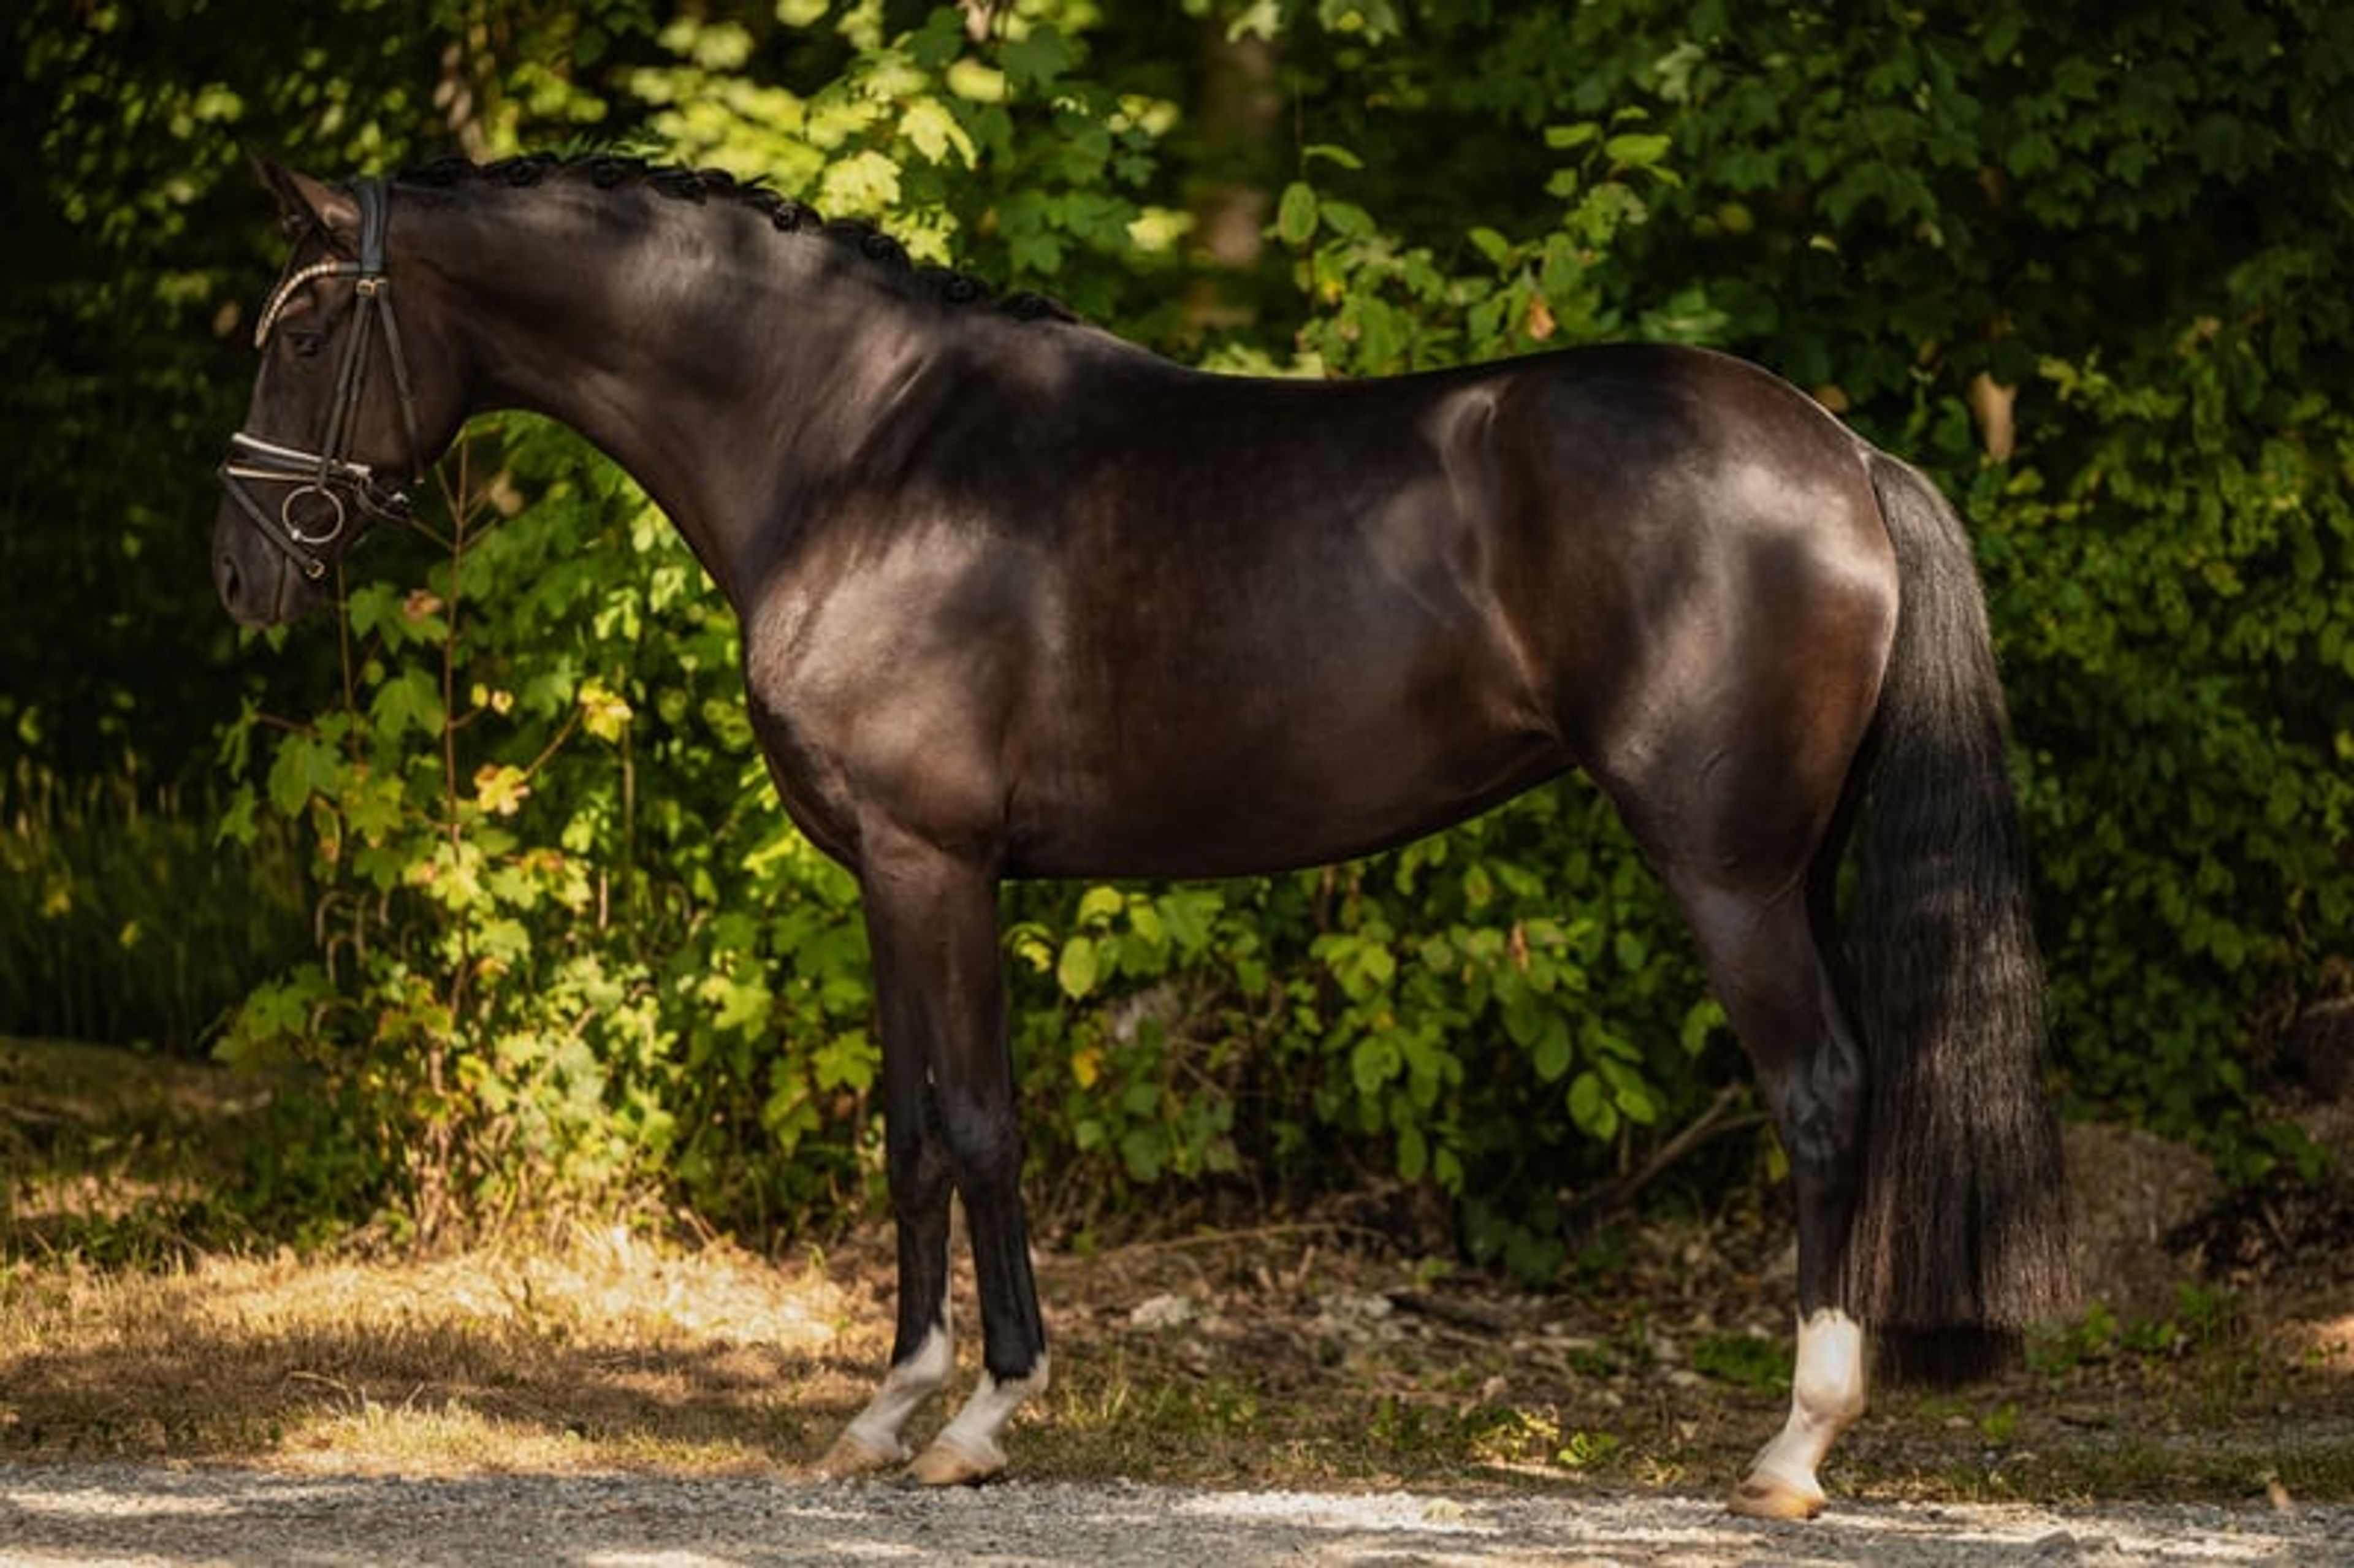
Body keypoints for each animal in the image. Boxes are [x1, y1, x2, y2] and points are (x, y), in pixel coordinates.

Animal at [211, 155, 2072, 1518]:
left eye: (302, 333)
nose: (245, 571)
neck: (857, 447)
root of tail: (1840, 452)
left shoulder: (934, 863)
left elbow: (977, 1124)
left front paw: (981, 1415)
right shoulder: (886, 874)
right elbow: (910, 1134)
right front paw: (885, 1411)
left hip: (1728, 873)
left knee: (1820, 1093)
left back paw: (1791, 1447)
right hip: (1797, 867)